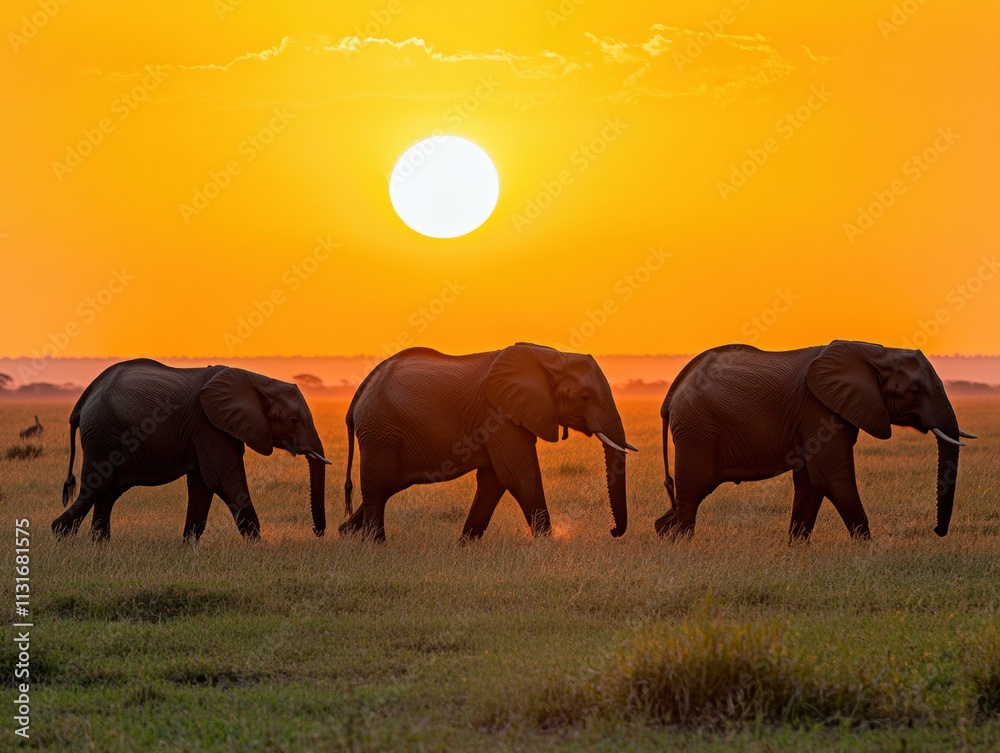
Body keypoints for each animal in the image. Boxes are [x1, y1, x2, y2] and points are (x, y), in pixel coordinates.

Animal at [52, 359, 330, 542]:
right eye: (293, 420)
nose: (317, 532)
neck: (258, 381)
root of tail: (83, 400)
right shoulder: (209, 425)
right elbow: (222, 480)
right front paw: (255, 546)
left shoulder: (211, 428)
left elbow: (203, 485)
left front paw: (189, 547)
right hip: (102, 437)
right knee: (97, 488)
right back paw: (61, 537)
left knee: (108, 493)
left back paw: (99, 545)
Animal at [338, 343, 636, 542]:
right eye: (585, 397)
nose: (612, 531)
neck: (553, 357)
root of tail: (363, 387)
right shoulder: (499, 416)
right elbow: (519, 476)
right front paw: (548, 546)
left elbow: (493, 481)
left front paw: (465, 547)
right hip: (380, 433)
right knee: (379, 487)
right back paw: (376, 545)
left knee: (385, 487)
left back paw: (345, 534)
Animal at [654, 341, 975, 541]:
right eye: (914, 392)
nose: (937, 532)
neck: (876, 352)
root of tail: (674, 391)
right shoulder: (819, 412)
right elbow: (832, 479)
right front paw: (869, 551)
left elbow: (810, 482)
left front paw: (796, 550)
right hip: (697, 431)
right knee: (693, 492)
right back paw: (681, 545)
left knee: (689, 496)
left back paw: (663, 533)